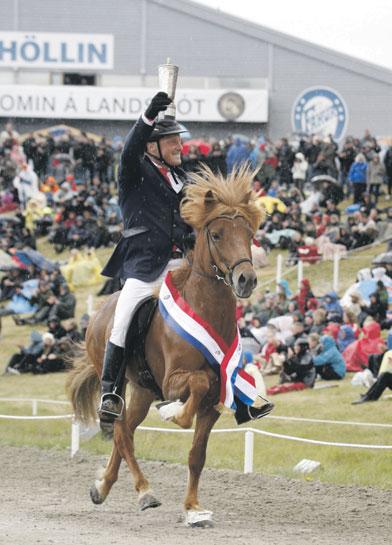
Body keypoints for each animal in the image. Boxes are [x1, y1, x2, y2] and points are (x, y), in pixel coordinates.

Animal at [66, 165, 264, 524]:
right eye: (217, 235)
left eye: (247, 233)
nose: (246, 280)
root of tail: (100, 311)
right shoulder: (174, 381)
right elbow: (197, 384)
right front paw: (174, 413)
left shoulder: (213, 403)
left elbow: (197, 455)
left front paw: (193, 509)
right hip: (117, 383)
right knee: (121, 431)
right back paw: (144, 491)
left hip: (144, 391)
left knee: (126, 432)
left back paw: (103, 486)